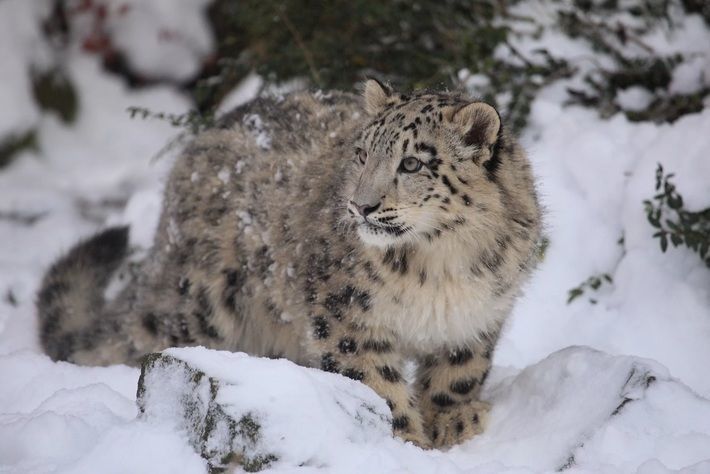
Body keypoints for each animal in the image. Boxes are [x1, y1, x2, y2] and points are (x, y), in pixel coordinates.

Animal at [37, 79, 540, 450]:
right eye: (362, 154)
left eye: (413, 163)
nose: (361, 206)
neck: (440, 265)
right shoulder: (344, 316)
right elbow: (376, 383)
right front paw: (406, 440)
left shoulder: (479, 313)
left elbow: (460, 370)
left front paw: (452, 421)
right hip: (201, 304)